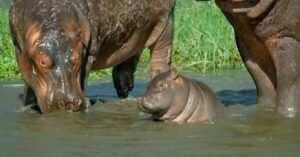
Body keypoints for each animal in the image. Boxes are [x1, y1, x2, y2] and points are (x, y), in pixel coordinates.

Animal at [9, 0, 175, 113]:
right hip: (135, 33)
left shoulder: (89, 51)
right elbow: (27, 81)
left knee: (160, 59)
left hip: (166, 23)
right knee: (126, 65)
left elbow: (83, 78)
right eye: (43, 61)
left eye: (76, 58)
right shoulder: (19, 49)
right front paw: (27, 105)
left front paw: (87, 104)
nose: (69, 102)